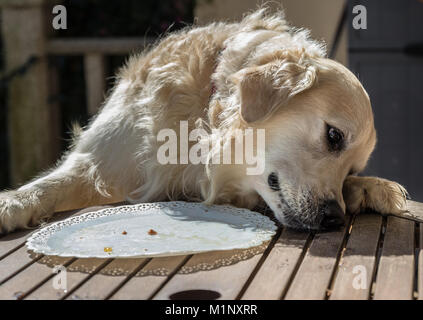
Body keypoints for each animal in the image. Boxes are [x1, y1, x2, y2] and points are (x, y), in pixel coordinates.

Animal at [0, 7, 410, 232]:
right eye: (334, 136)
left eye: (352, 169)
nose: (334, 220)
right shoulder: (103, 159)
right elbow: (52, 184)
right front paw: (14, 203)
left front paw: (372, 187)